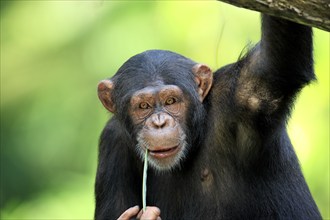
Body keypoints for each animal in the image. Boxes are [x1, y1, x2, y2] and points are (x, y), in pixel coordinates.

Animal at [95, 14, 322, 220]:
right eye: (144, 106)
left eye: (171, 101)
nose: (159, 123)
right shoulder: (112, 141)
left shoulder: (244, 94)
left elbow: (278, 65)